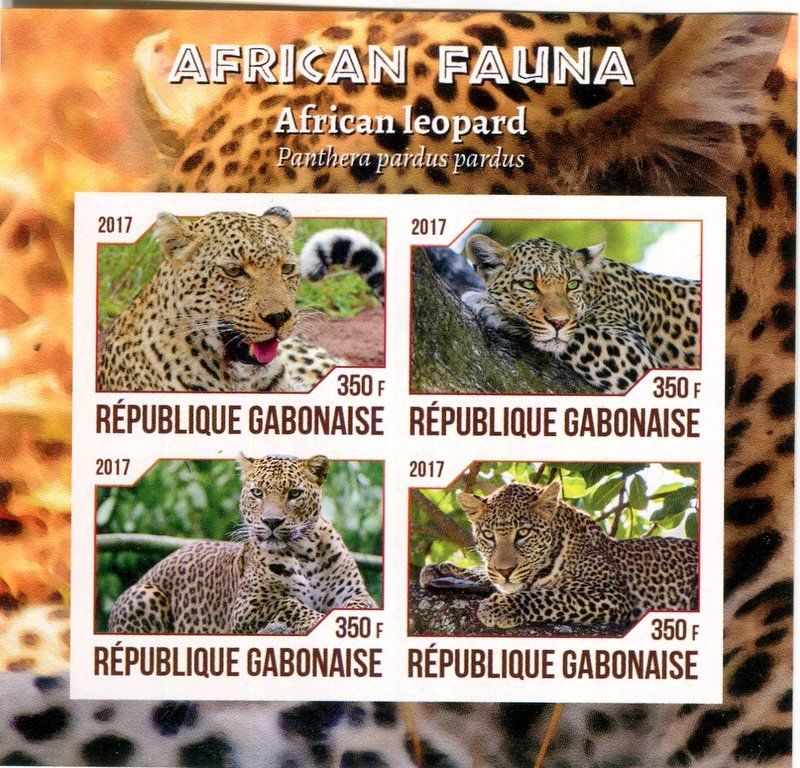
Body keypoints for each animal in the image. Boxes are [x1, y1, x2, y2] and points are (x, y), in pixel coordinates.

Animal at [108, 454, 376, 635]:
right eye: (257, 493)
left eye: (294, 493)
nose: (271, 521)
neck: (304, 553)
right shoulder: (245, 608)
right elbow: (288, 604)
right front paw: (314, 620)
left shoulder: (355, 593)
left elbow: (359, 606)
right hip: (144, 594)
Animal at [420, 480, 698, 630]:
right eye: (489, 535)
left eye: (523, 533)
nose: (505, 570)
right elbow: (488, 576)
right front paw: (441, 569)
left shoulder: (611, 594)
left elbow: (550, 596)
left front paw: (500, 607)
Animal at [460, 235, 700, 393]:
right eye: (528, 285)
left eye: (572, 285)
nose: (558, 322)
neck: (595, 288)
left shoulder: (637, 353)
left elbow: (578, 332)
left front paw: (492, 308)